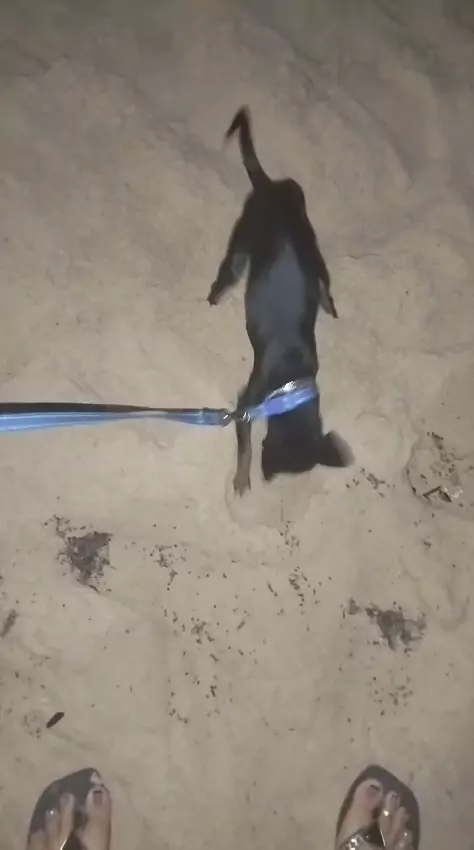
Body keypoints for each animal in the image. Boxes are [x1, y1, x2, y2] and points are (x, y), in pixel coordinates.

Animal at [208, 107, 352, 494]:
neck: (293, 383)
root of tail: (271, 187)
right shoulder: (246, 405)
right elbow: (243, 449)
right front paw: (242, 478)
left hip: (308, 248)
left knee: (323, 283)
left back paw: (329, 305)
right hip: (244, 240)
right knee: (230, 273)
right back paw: (217, 296)